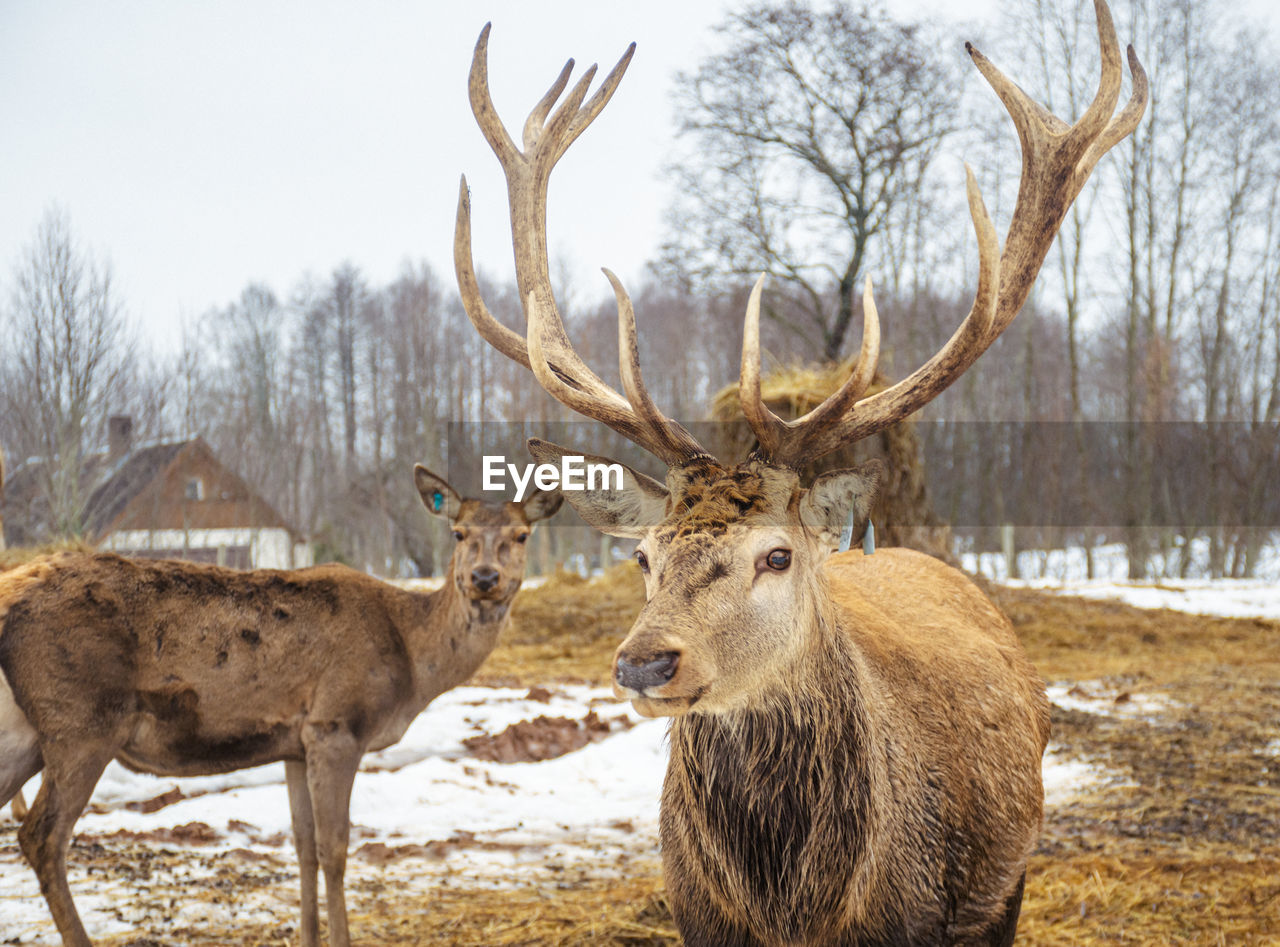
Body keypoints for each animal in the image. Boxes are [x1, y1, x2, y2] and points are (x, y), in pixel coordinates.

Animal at [1, 465, 560, 947]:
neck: (411, 659)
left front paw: (309, 936)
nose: (484, 578)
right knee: (42, 836)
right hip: (83, 721)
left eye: (521, 536)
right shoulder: (336, 724)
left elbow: (303, 846)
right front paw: (340, 939)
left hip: (27, 735)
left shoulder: (294, 742)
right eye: (459, 534)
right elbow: (335, 849)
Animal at [455, 3, 1146, 941]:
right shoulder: (694, 917)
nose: (643, 662)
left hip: (1007, 884)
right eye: (642, 556)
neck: (800, 910)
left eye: (776, 554)